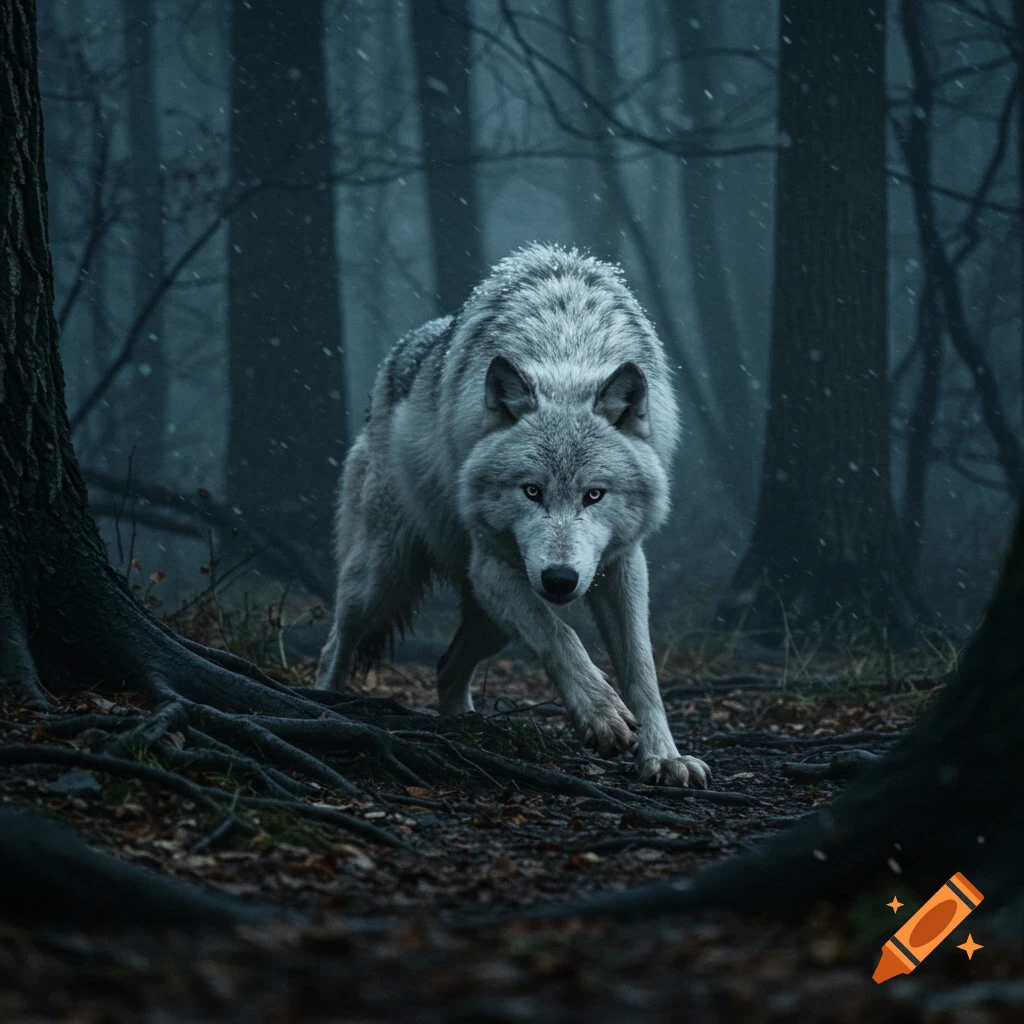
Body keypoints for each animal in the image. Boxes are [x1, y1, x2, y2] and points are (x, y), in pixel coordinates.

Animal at [315, 243, 710, 787]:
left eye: (594, 495)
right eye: (531, 491)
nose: (560, 579)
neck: (567, 348)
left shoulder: (623, 563)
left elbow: (642, 669)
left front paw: (664, 757)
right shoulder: (492, 567)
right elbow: (560, 635)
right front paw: (601, 714)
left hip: (489, 622)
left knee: (445, 667)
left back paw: (466, 727)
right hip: (382, 579)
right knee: (337, 643)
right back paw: (324, 706)